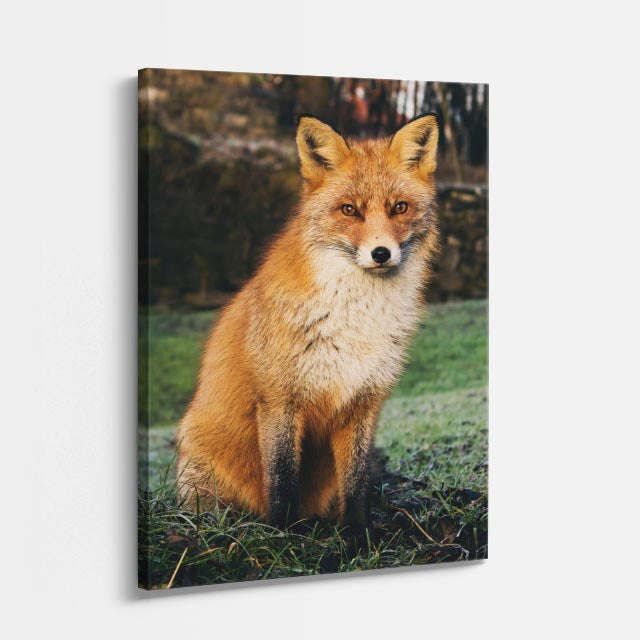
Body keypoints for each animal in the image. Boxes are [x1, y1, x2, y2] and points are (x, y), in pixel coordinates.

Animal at [176, 112, 440, 534]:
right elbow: (283, 479)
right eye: (349, 210)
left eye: (399, 207)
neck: (355, 320)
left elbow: (356, 484)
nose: (381, 253)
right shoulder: (279, 400)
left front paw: (358, 536)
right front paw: (283, 535)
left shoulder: (363, 403)